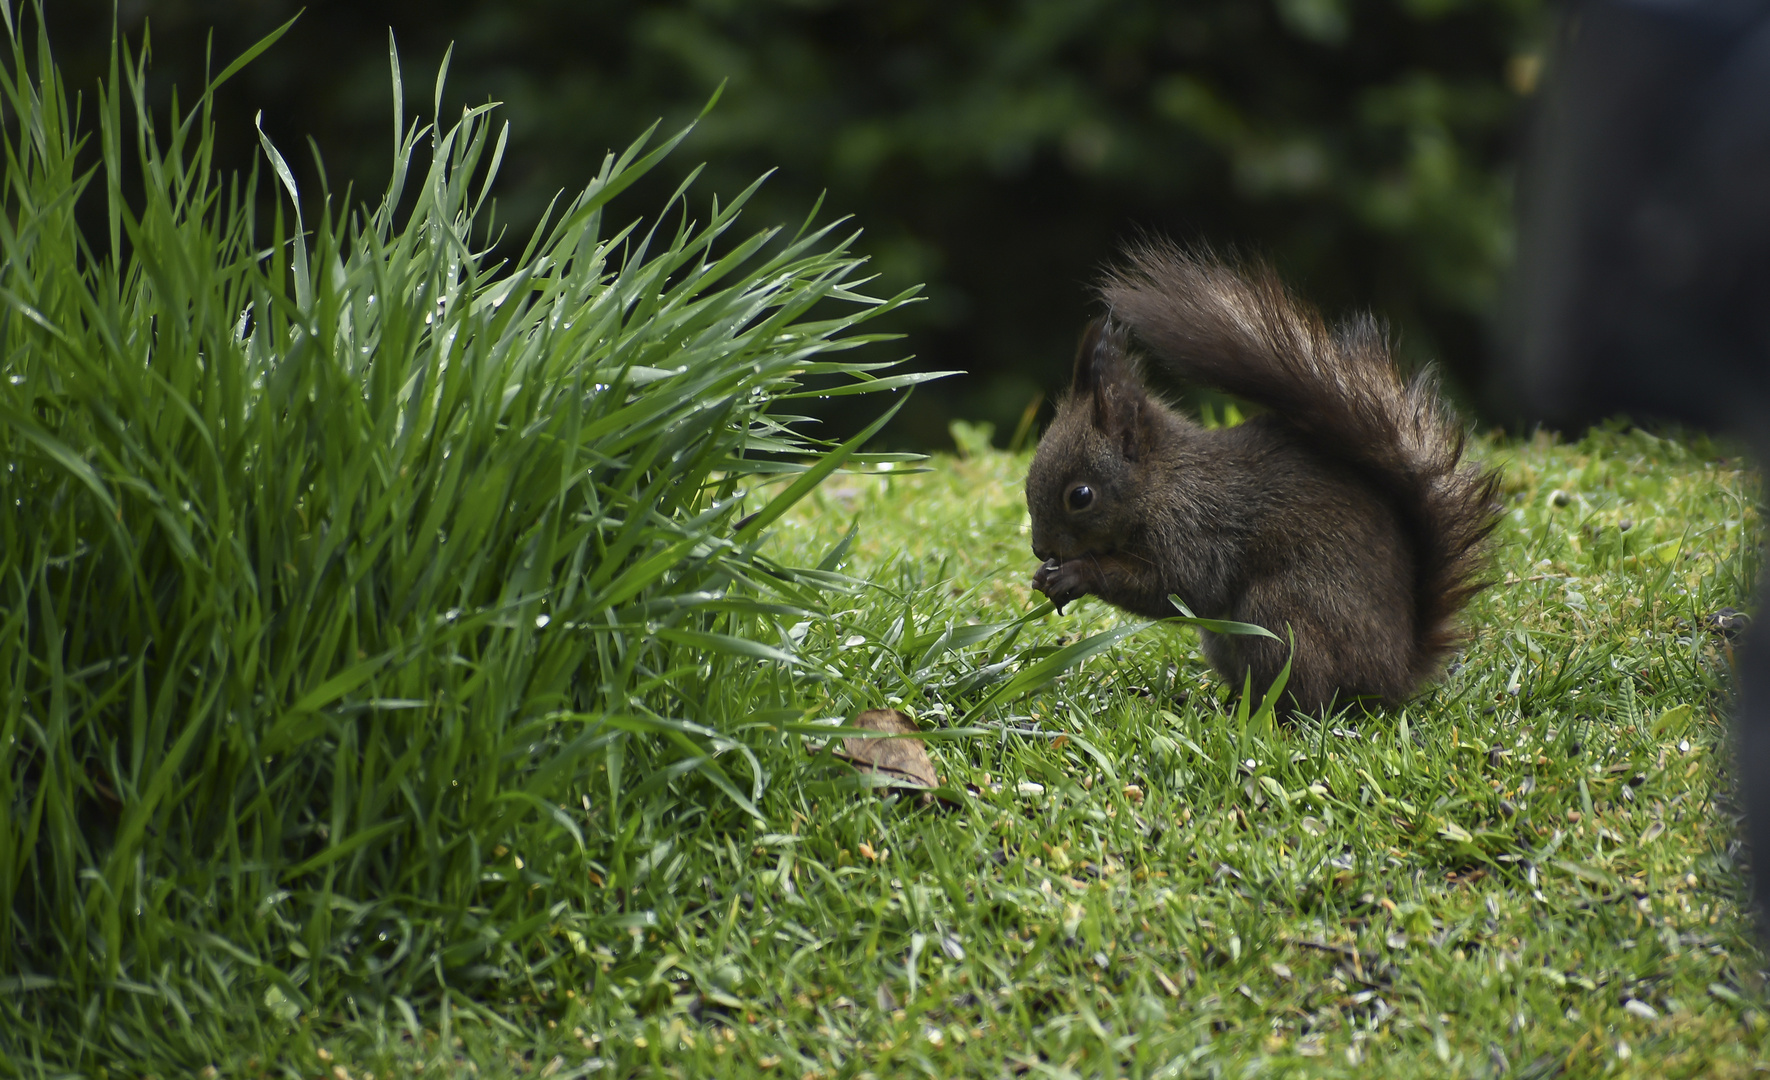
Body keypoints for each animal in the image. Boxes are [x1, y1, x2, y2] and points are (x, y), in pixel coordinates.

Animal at [1033, 246, 1500, 715]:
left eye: (1081, 495)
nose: (1039, 549)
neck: (1162, 482)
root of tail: (1395, 675)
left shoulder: (1197, 531)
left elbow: (1173, 586)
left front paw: (1076, 574)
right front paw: (1043, 577)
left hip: (1280, 614)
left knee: (1308, 699)